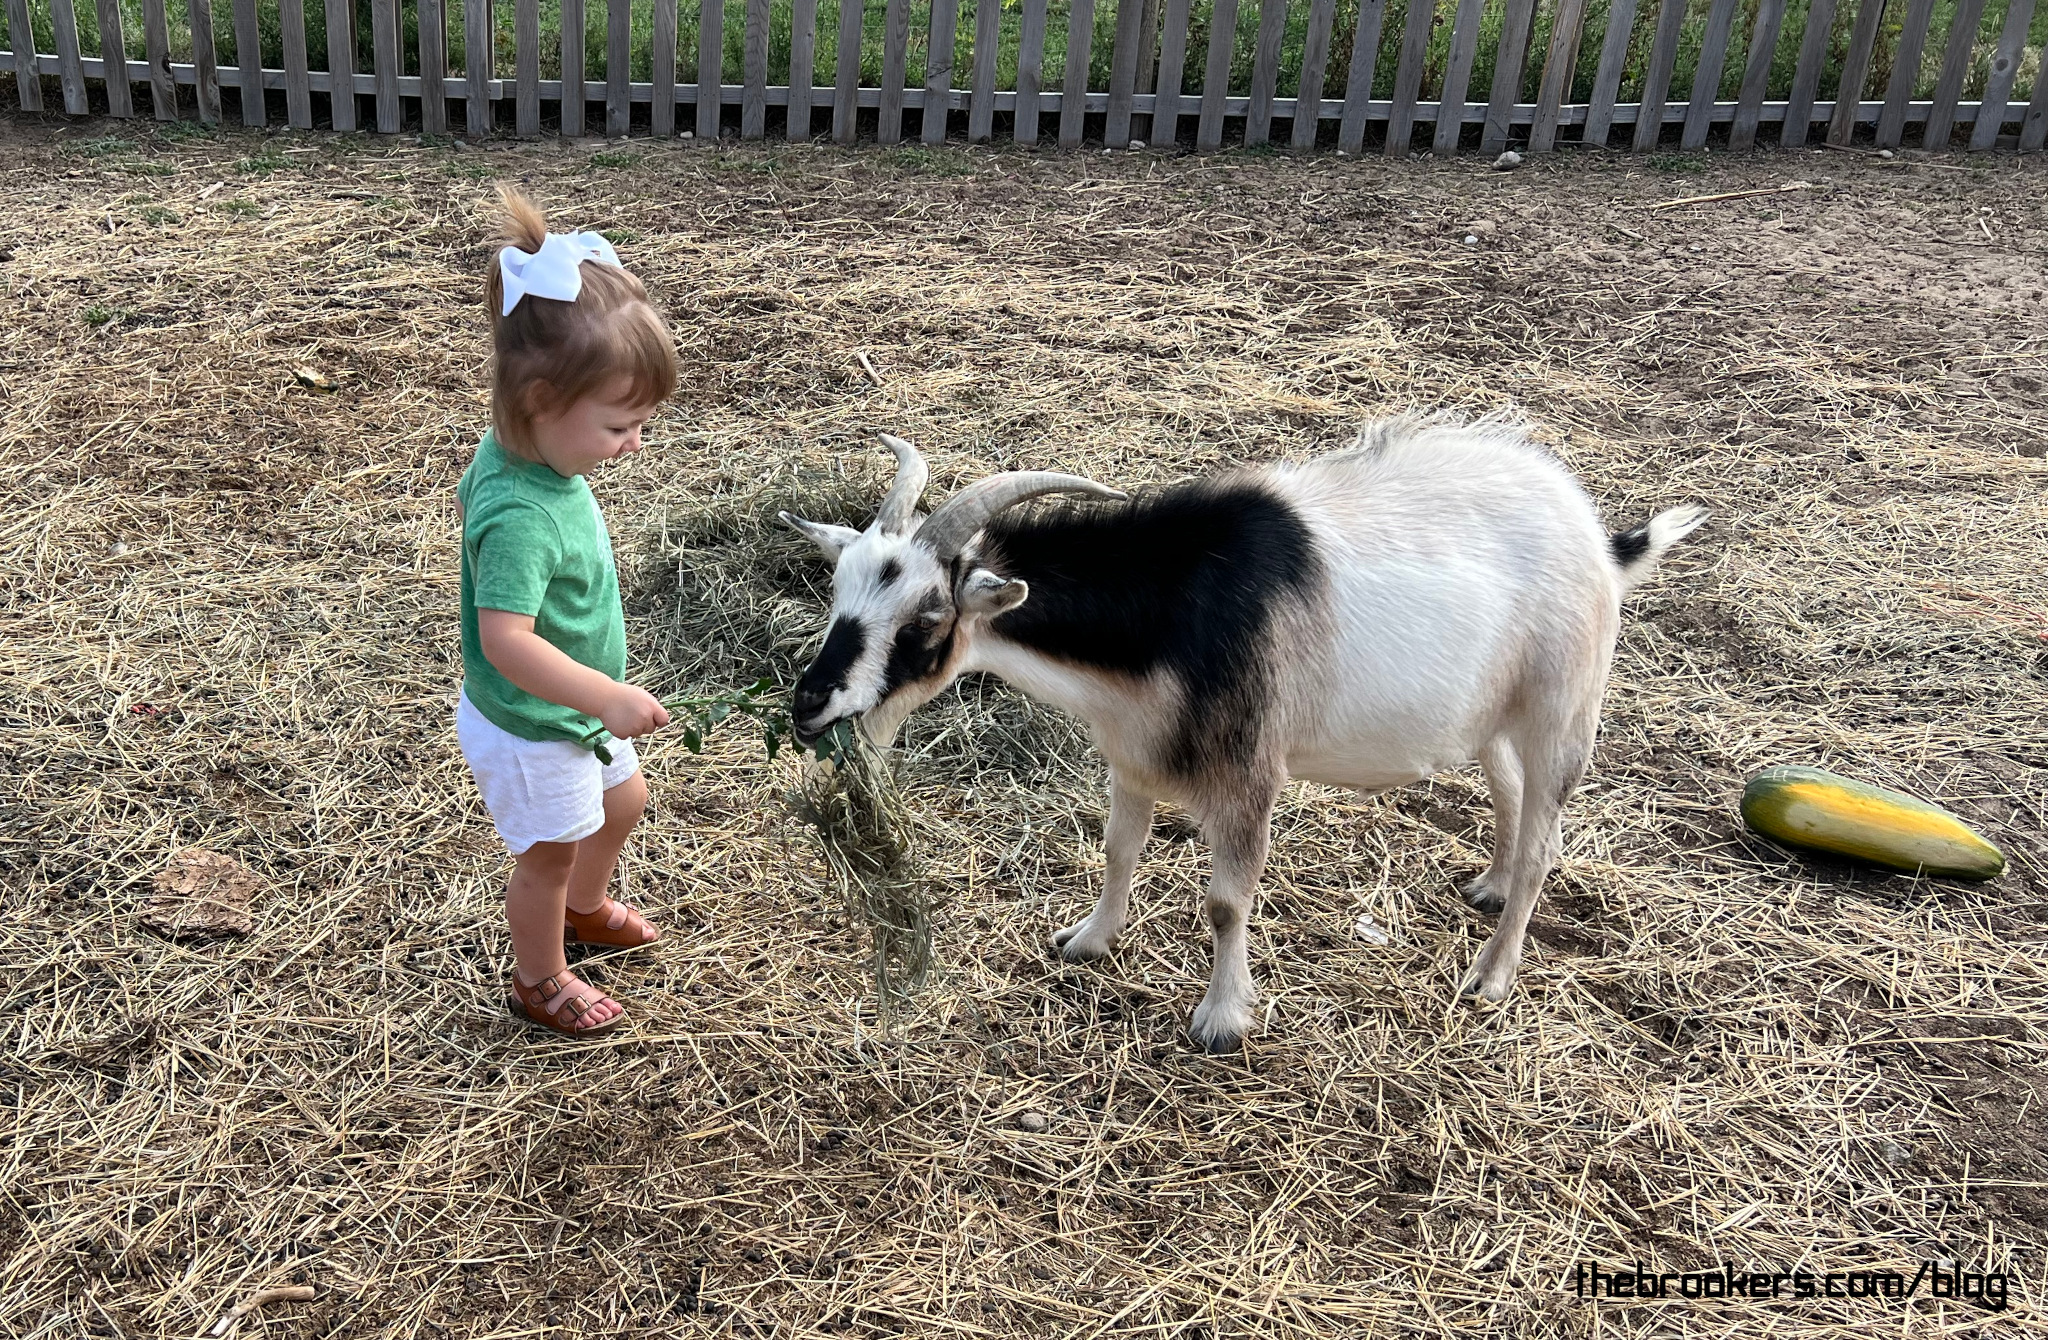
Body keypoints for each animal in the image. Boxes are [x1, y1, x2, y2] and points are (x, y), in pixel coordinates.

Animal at [780, 419, 1708, 1052]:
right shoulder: (1132, 755)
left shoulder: (1249, 772)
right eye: (836, 593)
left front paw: (1222, 1020)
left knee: (1548, 832)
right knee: (1510, 792)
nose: (809, 704)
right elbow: (1118, 851)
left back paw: (1493, 973)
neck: (1172, 614)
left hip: (1564, 706)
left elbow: (1227, 902)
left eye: (926, 620)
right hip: (1489, 716)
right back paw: (1489, 884)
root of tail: (1597, 536)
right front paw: (1087, 942)